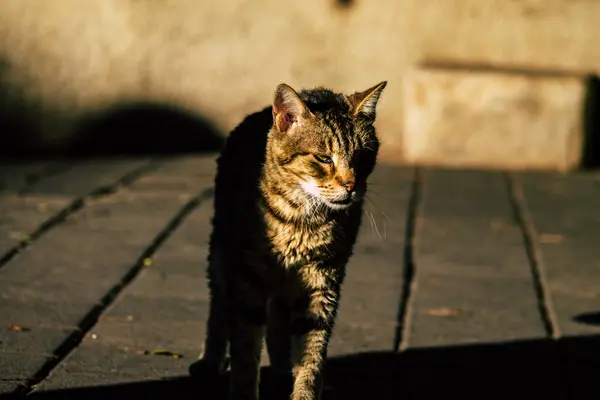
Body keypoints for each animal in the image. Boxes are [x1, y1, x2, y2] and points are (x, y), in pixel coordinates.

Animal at [191, 81, 390, 400]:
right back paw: (210, 361)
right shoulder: (247, 279)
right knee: (219, 307)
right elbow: (245, 352)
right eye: (323, 158)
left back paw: (282, 370)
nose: (351, 186)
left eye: (362, 156)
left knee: (277, 322)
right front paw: (244, 391)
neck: (303, 219)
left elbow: (312, 353)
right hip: (221, 253)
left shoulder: (323, 281)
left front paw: (304, 391)